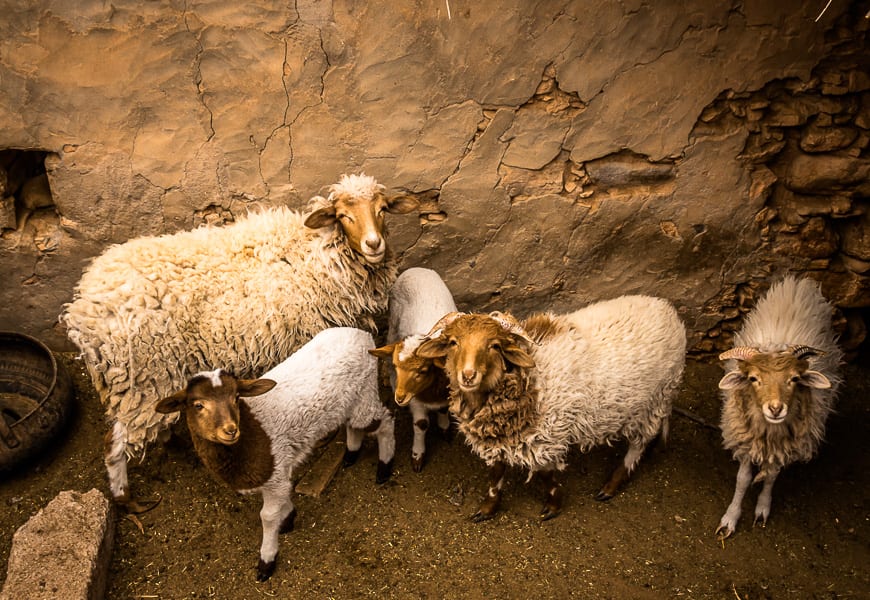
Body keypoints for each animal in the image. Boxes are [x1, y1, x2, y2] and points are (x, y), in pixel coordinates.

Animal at [59, 173, 418, 510]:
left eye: (382, 209)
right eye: (343, 216)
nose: (374, 244)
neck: (318, 253)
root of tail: (83, 311)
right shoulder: (306, 336)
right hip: (144, 379)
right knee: (115, 442)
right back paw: (126, 498)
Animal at [155, 328, 394, 580]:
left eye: (236, 397)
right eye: (197, 405)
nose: (230, 430)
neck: (248, 435)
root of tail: (362, 334)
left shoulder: (275, 467)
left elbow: (267, 516)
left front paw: (267, 559)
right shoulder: (276, 473)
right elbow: (283, 497)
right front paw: (288, 517)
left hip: (366, 392)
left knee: (385, 422)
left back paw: (384, 467)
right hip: (351, 401)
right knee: (353, 424)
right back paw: (351, 453)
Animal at [370, 270, 460, 472]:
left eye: (423, 370)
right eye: (398, 366)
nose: (400, 397)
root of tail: (416, 269)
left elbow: (443, 409)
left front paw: (444, 428)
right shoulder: (416, 400)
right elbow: (421, 425)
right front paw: (417, 455)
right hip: (393, 321)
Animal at [416, 298, 688, 524]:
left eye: (494, 345)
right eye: (453, 342)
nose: (468, 375)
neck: (530, 380)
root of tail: (668, 309)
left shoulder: (548, 437)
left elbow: (546, 475)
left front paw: (553, 506)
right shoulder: (500, 438)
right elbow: (496, 474)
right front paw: (488, 508)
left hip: (656, 399)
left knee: (639, 444)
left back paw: (612, 484)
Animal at [716, 276, 844, 540]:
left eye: (794, 378)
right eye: (753, 378)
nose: (776, 408)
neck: (770, 434)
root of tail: (799, 282)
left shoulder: (785, 448)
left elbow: (772, 476)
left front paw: (762, 507)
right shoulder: (746, 441)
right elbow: (742, 479)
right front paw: (731, 517)